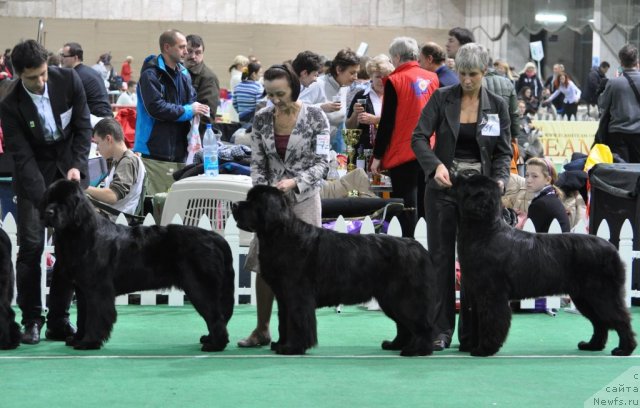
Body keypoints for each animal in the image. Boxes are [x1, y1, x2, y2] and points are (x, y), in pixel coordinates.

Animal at [41, 180, 235, 352]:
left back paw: (215, 345)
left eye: (64, 202)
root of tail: (214, 237)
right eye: (48, 199)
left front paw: (89, 342)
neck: (79, 233)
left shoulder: (97, 289)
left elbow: (96, 316)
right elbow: (83, 316)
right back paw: (209, 339)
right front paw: (77, 338)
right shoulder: (82, 290)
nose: (48, 212)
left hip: (199, 287)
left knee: (215, 315)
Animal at [231, 186, 436, 356]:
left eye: (253, 202)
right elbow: (284, 321)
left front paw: (292, 348)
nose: (234, 204)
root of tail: (419, 247)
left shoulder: (297, 294)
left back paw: (417, 350)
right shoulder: (283, 296)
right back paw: (395, 345)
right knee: (404, 325)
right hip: (390, 299)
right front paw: (280, 344)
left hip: (404, 297)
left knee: (421, 324)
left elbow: (297, 320)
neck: (280, 235)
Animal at [456, 175, 636, 356]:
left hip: (602, 294)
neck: (485, 233)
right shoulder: (477, 293)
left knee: (620, 318)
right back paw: (592, 345)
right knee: (600, 322)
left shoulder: (492, 293)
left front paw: (484, 349)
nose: (458, 175)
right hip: (584, 297)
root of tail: (613, 249)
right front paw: (474, 346)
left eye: (469, 182)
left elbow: (491, 321)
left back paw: (624, 349)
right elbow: (478, 321)